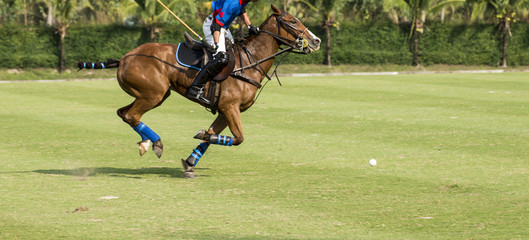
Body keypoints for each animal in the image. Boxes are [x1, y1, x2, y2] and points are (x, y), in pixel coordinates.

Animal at [81, 4, 320, 177]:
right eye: (292, 21)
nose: (316, 41)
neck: (249, 62)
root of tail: (124, 59)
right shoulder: (229, 106)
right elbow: (238, 138)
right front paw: (199, 137)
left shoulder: (225, 111)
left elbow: (212, 137)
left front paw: (189, 162)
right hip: (153, 94)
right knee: (132, 115)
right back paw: (155, 143)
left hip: (154, 94)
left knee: (123, 113)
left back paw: (145, 143)